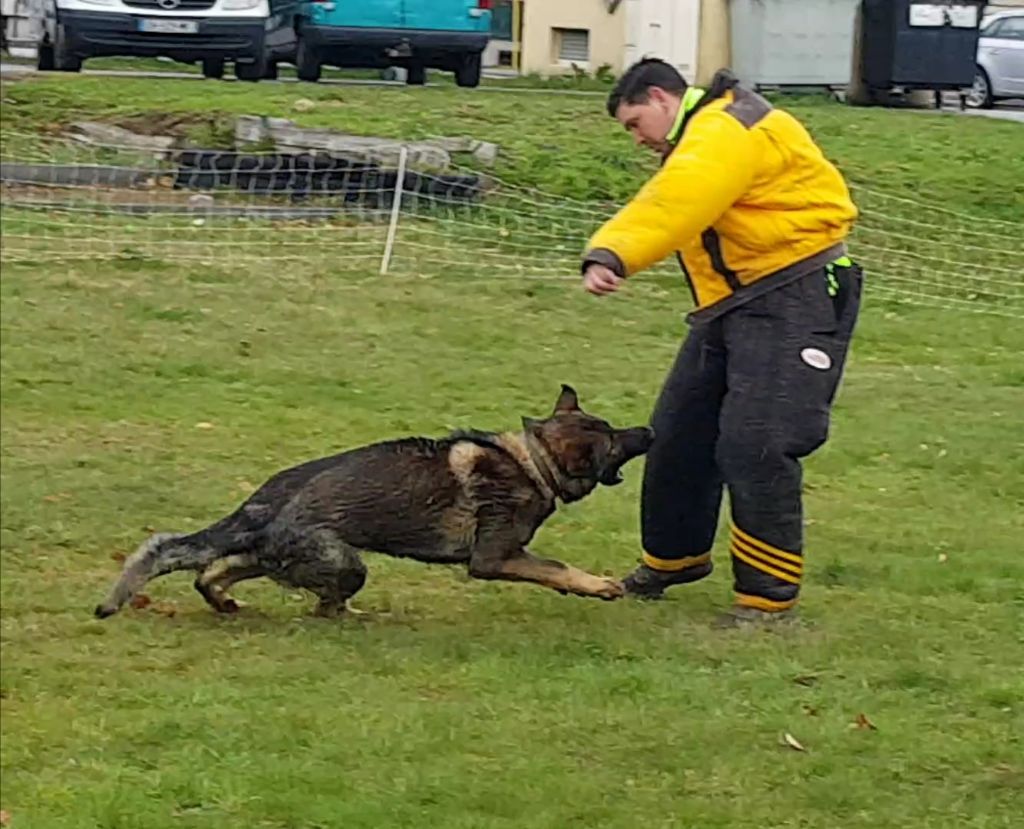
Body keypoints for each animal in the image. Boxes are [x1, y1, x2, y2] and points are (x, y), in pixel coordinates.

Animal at [96, 384, 655, 618]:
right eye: (614, 439)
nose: (649, 430)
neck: (532, 460)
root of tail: (262, 504)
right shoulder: (495, 558)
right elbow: (555, 567)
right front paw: (597, 586)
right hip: (345, 564)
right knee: (324, 606)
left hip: (276, 556)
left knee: (211, 572)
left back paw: (227, 603)